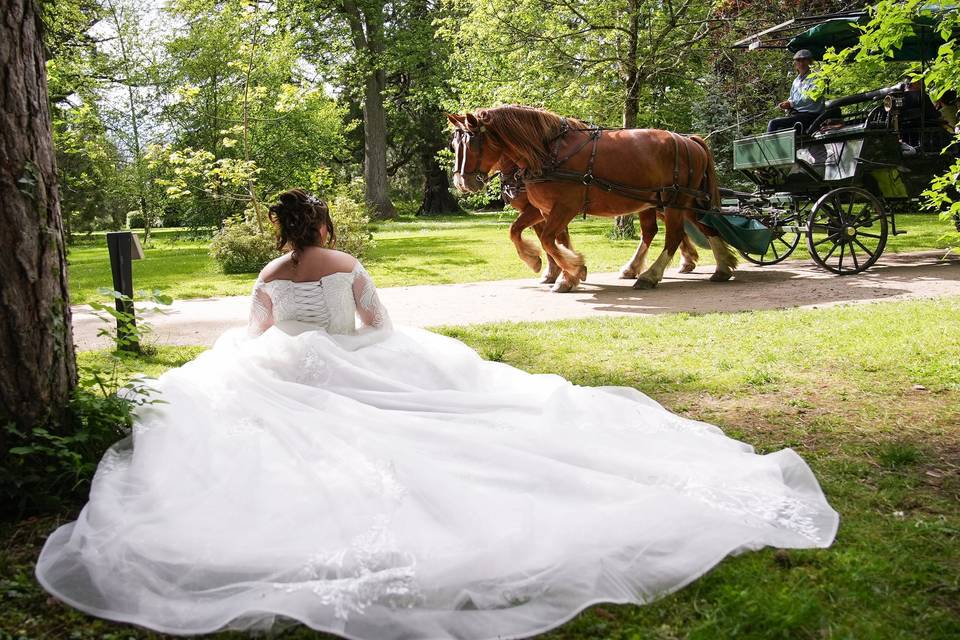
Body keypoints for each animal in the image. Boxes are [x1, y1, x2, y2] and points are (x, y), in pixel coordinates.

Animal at [450, 107, 736, 292]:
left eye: (473, 144)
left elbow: (548, 240)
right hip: (671, 201)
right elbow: (529, 234)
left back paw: (651, 275)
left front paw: (570, 271)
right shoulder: (544, 210)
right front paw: (559, 272)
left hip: (676, 199)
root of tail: (689, 140)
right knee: (689, 228)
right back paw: (721, 266)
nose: (462, 183)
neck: (547, 152)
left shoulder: (563, 207)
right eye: (455, 146)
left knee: (674, 236)